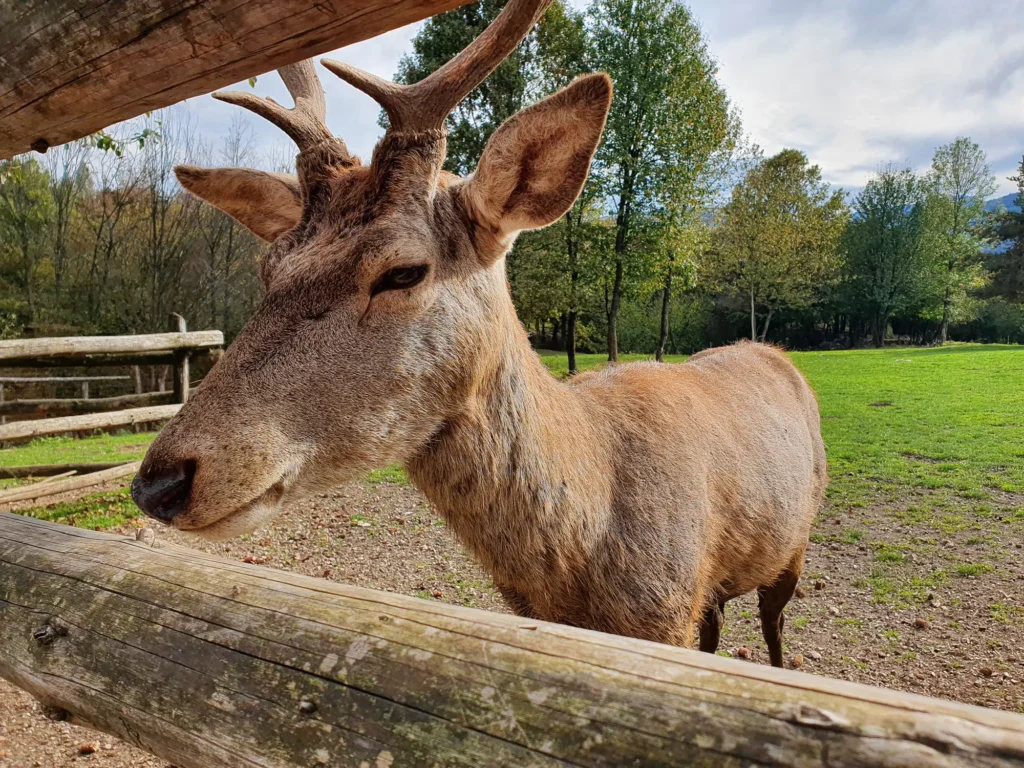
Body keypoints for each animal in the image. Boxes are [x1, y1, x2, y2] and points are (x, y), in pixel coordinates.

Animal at [131, 0, 827, 667]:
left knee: (772, 624)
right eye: (267, 268)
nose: (159, 482)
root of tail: (775, 354)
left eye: (402, 271)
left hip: (796, 541)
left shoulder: (672, 609)